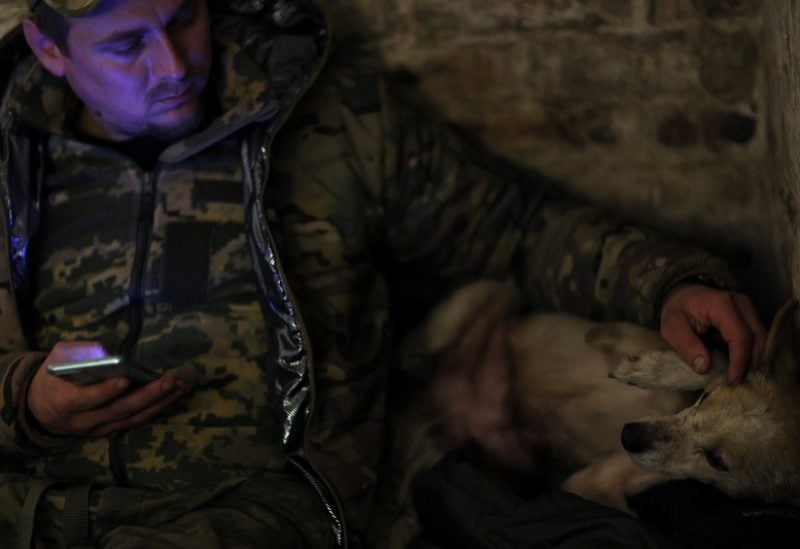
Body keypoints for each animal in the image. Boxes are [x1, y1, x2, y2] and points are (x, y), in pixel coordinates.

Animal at [396, 280, 800, 512]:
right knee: (418, 346)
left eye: (717, 460)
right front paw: (647, 368)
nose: (629, 435)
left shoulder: (595, 483)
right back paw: (414, 362)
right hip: (492, 291)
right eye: (705, 400)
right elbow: (713, 359)